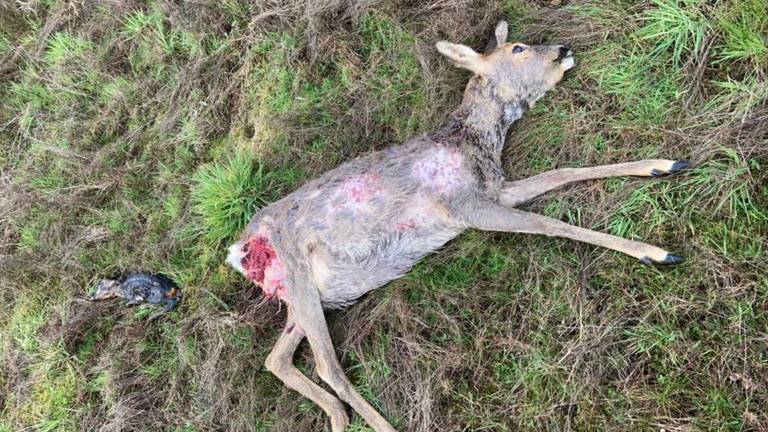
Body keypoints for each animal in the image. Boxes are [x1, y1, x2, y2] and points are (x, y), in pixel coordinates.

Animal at [225, 22, 688, 430]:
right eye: (518, 48)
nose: (562, 48)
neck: (476, 145)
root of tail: (239, 252)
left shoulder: (496, 190)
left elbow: (563, 171)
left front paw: (664, 163)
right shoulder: (465, 205)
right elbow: (550, 223)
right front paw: (656, 251)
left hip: (303, 295)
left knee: (277, 358)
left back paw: (337, 416)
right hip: (298, 273)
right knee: (327, 365)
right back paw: (375, 424)